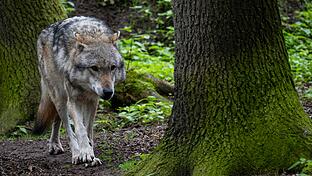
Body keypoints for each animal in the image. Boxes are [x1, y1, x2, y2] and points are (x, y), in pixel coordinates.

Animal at [33, 15, 125, 166]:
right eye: (94, 68)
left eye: (112, 67)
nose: (108, 92)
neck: (92, 34)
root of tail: (44, 31)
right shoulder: (73, 101)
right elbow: (80, 130)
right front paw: (85, 153)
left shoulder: (93, 102)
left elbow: (88, 130)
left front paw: (91, 154)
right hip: (60, 98)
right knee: (67, 128)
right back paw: (75, 153)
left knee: (57, 121)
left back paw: (56, 144)